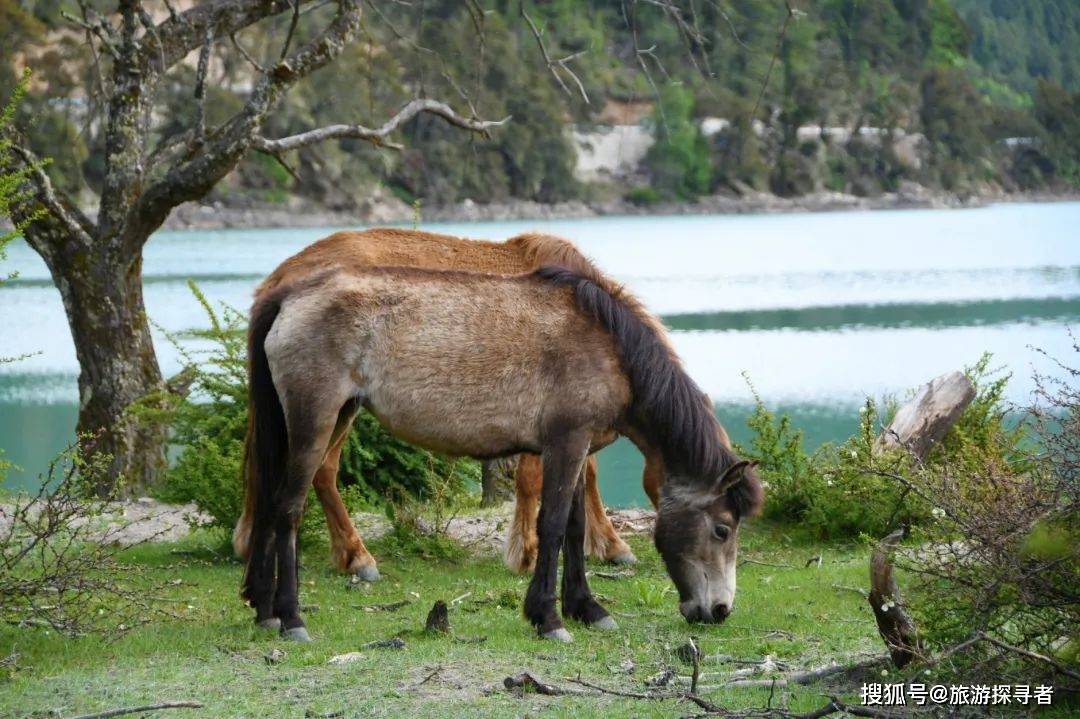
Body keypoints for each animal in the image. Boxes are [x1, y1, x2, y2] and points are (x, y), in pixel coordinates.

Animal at [236, 227, 656, 578]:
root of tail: (280, 279)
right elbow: (536, 481)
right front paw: (529, 551)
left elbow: (584, 473)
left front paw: (606, 544)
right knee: (319, 470)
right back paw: (356, 556)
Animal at [240, 262, 764, 639]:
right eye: (722, 528)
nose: (720, 610)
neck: (611, 348)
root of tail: (289, 294)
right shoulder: (566, 444)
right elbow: (551, 526)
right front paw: (548, 618)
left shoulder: (578, 448)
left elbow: (574, 529)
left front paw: (587, 609)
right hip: (315, 420)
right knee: (287, 508)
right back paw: (291, 617)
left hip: (326, 418)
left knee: (267, 498)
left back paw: (262, 608)